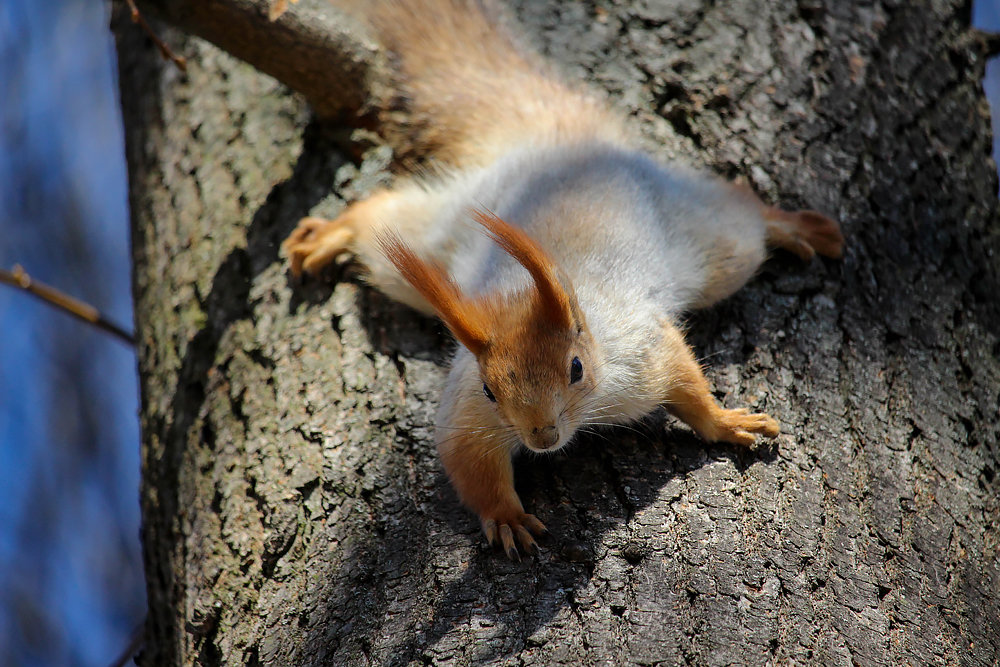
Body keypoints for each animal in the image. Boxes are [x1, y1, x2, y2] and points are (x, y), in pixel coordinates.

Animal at [282, 0, 844, 560]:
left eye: (575, 369)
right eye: (490, 390)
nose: (542, 437)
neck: (520, 296)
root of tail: (564, 146)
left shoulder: (642, 354)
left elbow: (689, 387)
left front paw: (727, 422)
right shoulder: (469, 409)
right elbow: (466, 457)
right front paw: (506, 515)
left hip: (715, 247)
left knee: (745, 217)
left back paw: (795, 226)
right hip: (428, 238)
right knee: (377, 216)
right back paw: (331, 233)